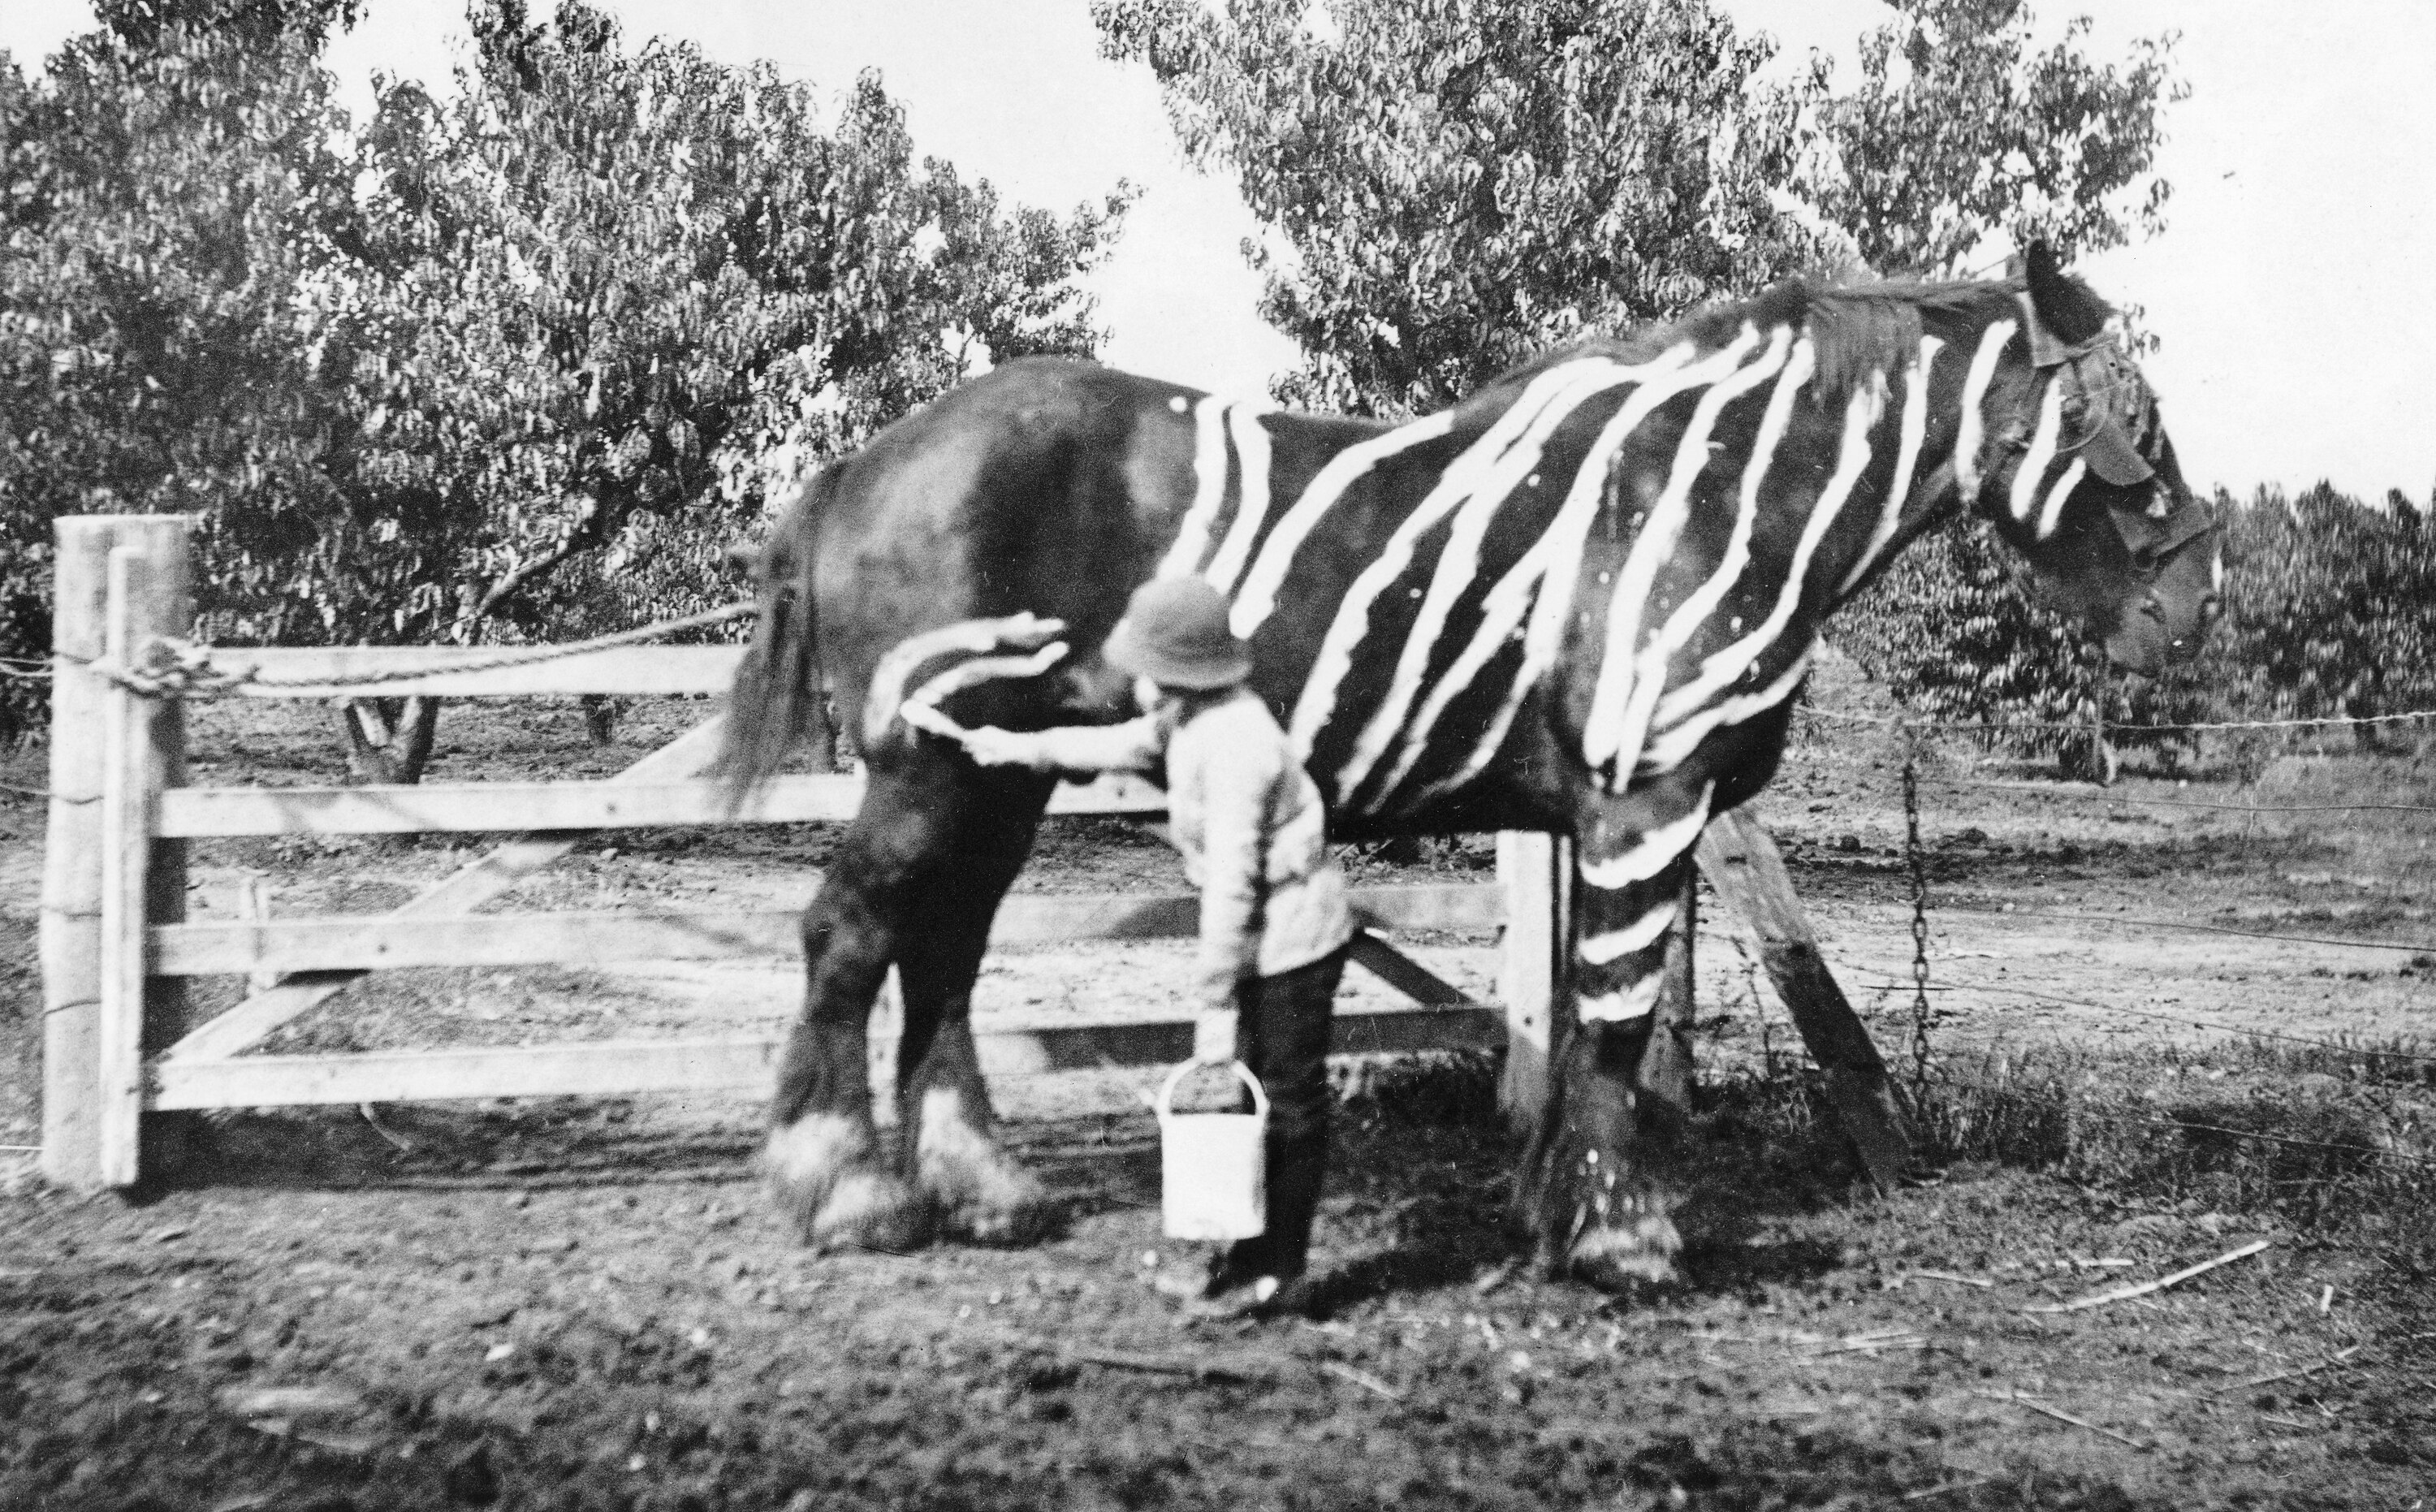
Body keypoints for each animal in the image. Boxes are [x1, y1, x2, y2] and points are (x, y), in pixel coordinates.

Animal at [718, 244, 2221, 1291]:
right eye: (2133, 426)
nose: (2194, 604)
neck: (1704, 506)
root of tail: (866, 457)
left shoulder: (1607, 817)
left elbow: (1579, 1018)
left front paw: (1558, 1212)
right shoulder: (1642, 801)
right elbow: (1612, 1020)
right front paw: (1620, 1239)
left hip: (999, 778)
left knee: (943, 952)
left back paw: (982, 1183)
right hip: (930, 770)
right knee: (852, 935)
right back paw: (849, 1188)